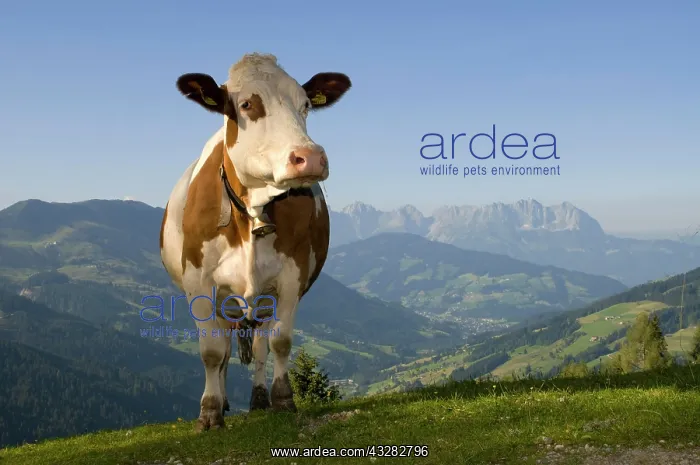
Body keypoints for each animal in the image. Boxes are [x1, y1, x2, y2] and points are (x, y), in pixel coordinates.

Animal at [159, 53, 351, 430]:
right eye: (247, 104)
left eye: (306, 105)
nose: (310, 157)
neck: (253, 215)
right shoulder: (198, 282)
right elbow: (212, 352)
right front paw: (209, 413)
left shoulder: (291, 277)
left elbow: (280, 342)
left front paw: (283, 399)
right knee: (224, 350)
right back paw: (222, 400)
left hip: (262, 300)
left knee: (260, 345)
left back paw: (259, 398)